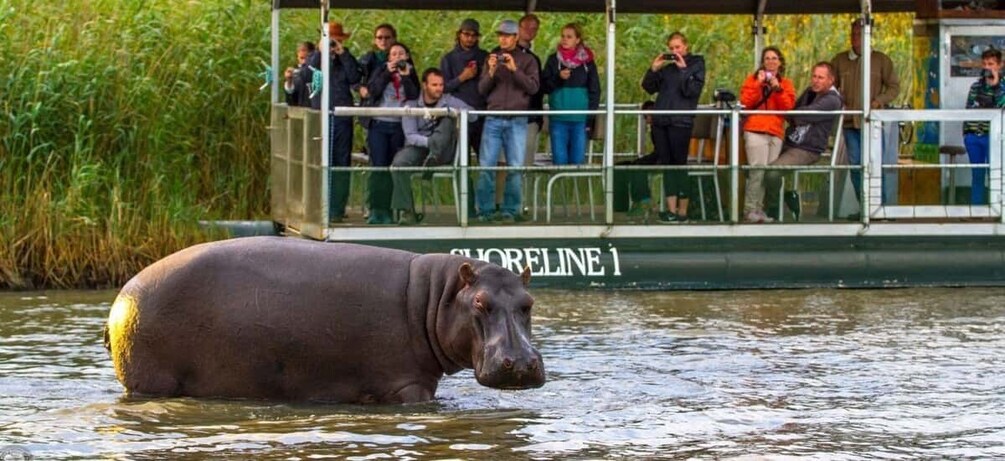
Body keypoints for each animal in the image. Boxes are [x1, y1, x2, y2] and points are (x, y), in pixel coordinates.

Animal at [104, 236, 544, 403]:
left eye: (528, 302)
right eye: (481, 303)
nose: (523, 363)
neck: (436, 296)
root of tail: (120, 299)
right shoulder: (407, 385)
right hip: (152, 382)